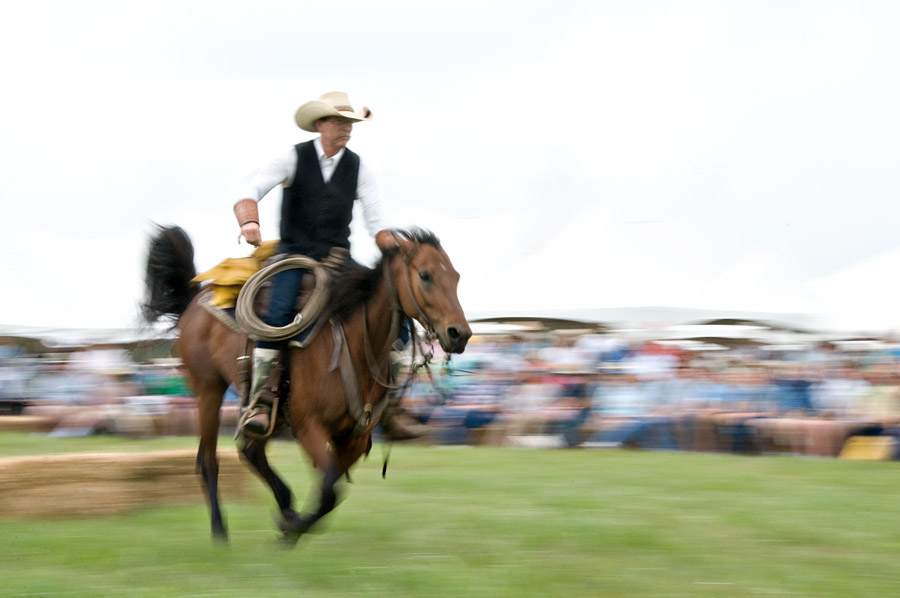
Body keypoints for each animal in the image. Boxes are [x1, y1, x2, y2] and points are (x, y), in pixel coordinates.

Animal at [142, 226, 472, 544]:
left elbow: (330, 487)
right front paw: (291, 529)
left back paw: (285, 504)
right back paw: (220, 531)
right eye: (425, 275)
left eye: (455, 276)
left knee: (251, 449)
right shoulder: (308, 427)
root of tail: (196, 296)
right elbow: (329, 491)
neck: (354, 346)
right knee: (208, 459)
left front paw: (291, 524)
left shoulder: (354, 437)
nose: (460, 334)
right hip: (209, 389)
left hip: (269, 413)